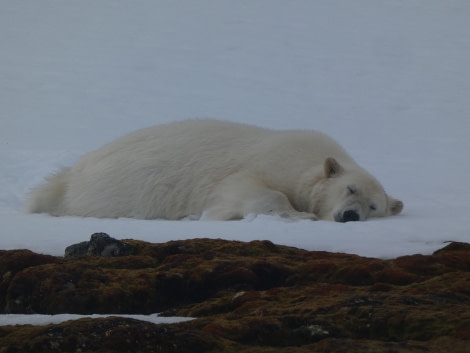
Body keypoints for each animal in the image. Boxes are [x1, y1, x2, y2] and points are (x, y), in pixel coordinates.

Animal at [28, 119, 404, 221]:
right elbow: (245, 188)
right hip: (105, 192)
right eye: (350, 189)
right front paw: (301, 215)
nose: (350, 215)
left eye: (374, 206)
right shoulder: (271, 161)